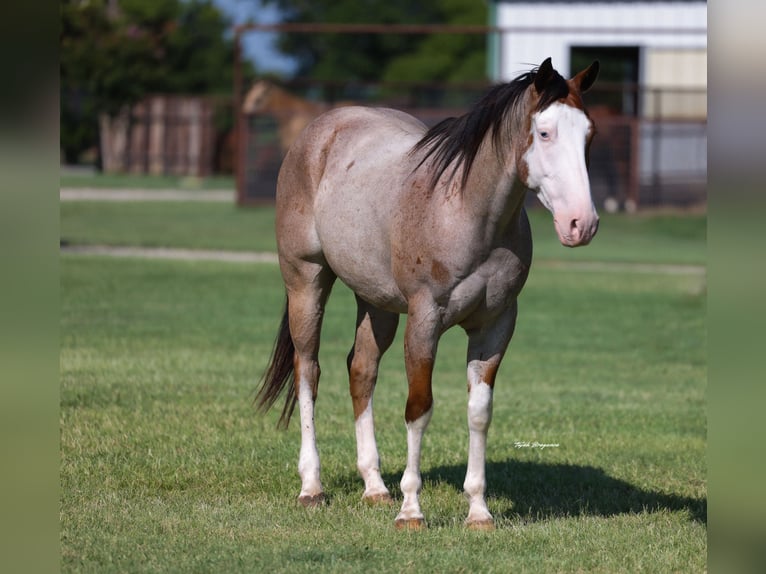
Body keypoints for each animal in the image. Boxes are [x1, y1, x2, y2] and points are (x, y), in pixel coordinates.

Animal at [255, 57, 600, 530]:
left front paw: (478, 511)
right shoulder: (424, 321)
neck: (465, 212)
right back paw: (312, 486)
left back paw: (374, 486)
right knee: (308, 371)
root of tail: (320, 130)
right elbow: (419, 408)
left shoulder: (496, 326)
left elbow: (479, 412)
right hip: (306, 282)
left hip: (376, 302)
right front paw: (411, 510)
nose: (581, 224)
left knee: (361, 370)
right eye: (545, 132)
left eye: (589, 135)